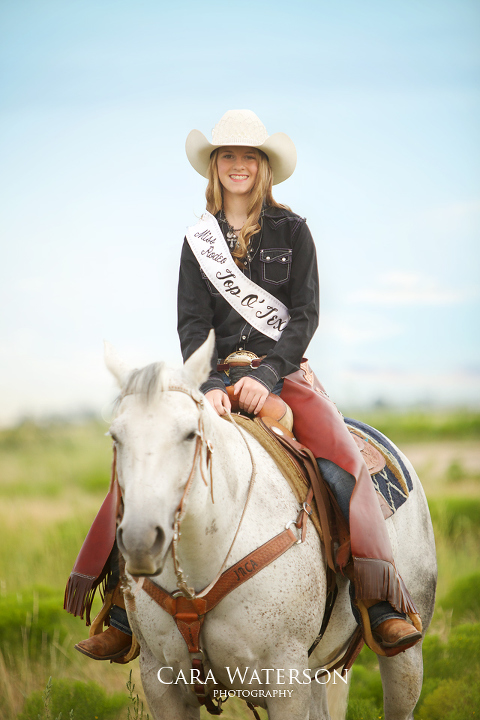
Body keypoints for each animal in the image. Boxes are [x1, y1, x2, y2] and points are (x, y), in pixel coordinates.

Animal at [106, 336, 438, 720]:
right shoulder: (160, 681)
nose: (140, 541)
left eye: (190, 434)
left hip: (406, 659)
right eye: (116, 437)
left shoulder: (285, 679)